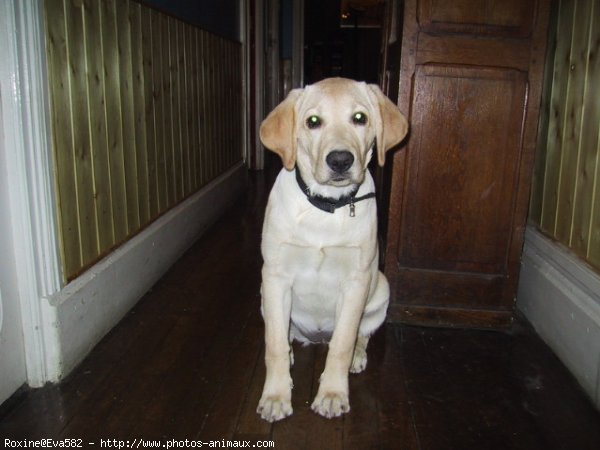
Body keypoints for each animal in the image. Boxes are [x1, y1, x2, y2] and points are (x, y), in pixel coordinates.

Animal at [255, 78, 410, 422]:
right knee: (283, 333)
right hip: (263, 295)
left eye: (360, 118)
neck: (327, 206)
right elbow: (273, 344)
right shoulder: (275, 277)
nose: (340, 160)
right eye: (313, 121)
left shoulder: (355, 282)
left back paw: (356, 357)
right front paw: (275, 396)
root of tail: (316, 337)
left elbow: (342, 343)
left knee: (360, 335)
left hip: (380, 291)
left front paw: (332, 394)